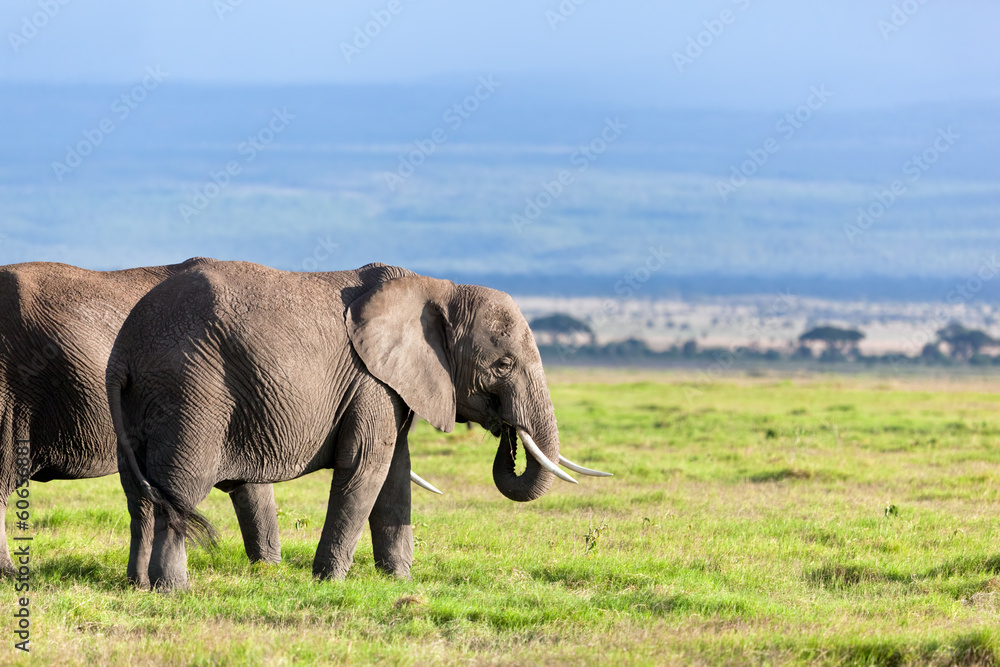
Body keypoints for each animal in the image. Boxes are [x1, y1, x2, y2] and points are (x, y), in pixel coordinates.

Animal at [108, 260, 609, 591]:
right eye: (503, 364)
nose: (506, 435)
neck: (437, 288)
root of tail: (125, 351)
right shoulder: (371, 380)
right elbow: (367, 466)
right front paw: (328, 583)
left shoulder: (392, 385)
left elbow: (395, 473)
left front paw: (399, 582)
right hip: (194, 391)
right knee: (179, 491)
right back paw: (174, 590)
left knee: (140, 497)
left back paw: (137, 585)